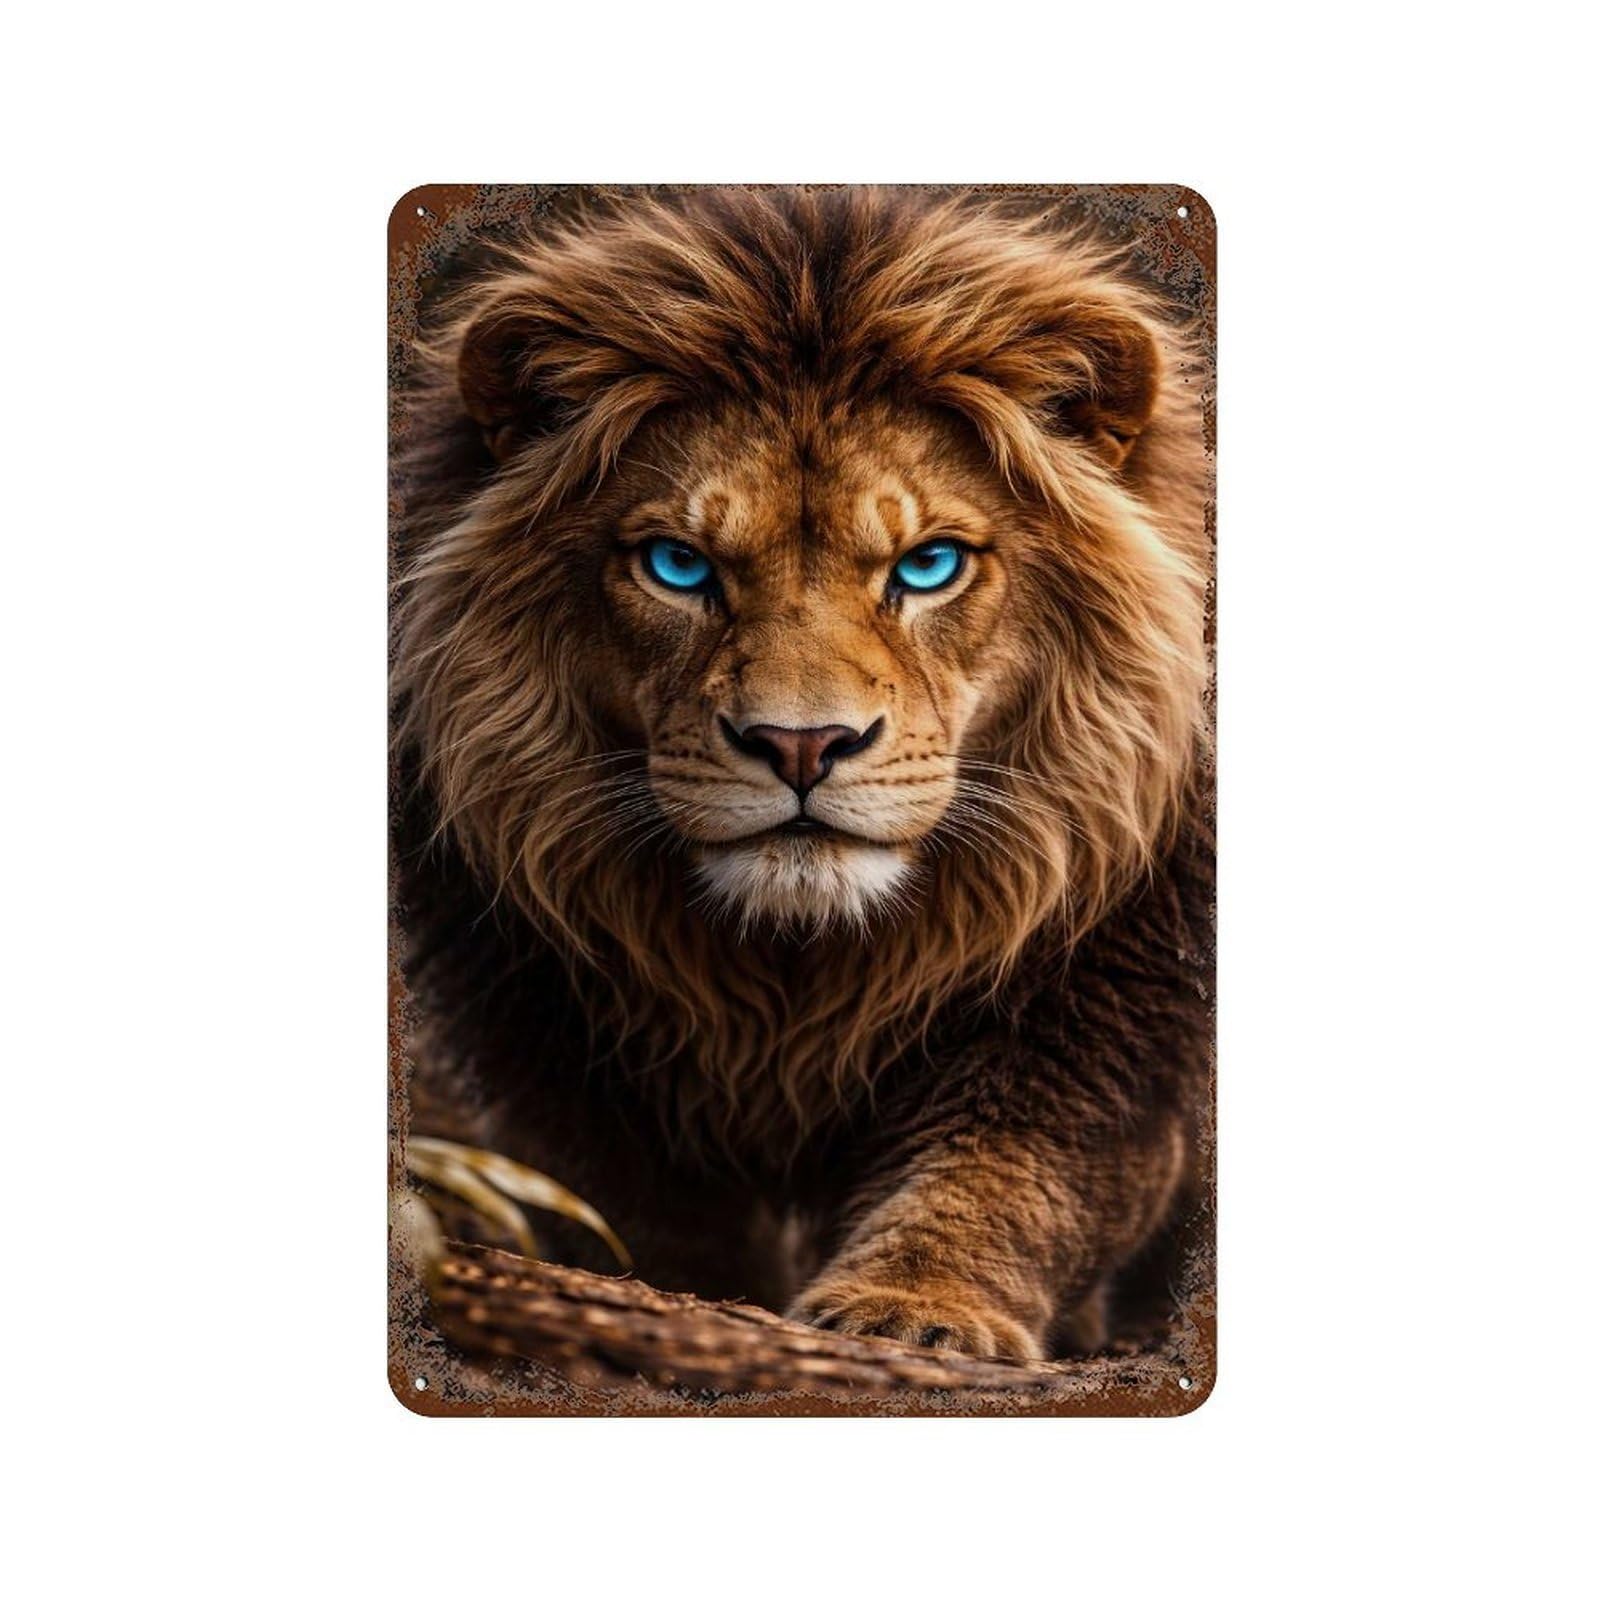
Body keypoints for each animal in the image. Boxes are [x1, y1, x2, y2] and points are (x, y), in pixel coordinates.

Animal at [392, 186, 1213, 1362]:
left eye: (929, 564)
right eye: (678, 564)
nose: (800, 746)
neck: (802, 968)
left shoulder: (1110, 1008)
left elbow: (1014, 1169)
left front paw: (918, 1310)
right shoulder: (551, 1033)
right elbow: (641, 1215)